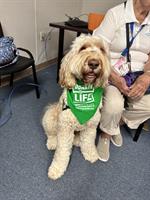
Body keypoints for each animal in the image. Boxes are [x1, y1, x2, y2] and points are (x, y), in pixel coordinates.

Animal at [42, 34, 110, 180]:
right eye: (82, 48)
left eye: (102, 49)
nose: (94, 63)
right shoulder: (64, 128)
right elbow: (62, 151)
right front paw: (57, 169)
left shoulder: (91, 126)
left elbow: (88, 142)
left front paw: (91, 154)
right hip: (50, 117)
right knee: (51, 133)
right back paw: (52, 142)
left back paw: (78, 141)